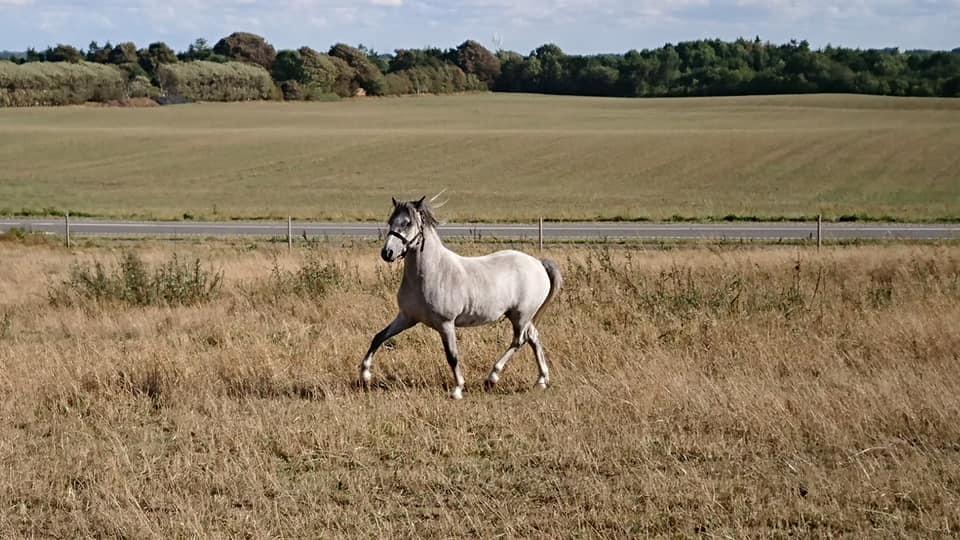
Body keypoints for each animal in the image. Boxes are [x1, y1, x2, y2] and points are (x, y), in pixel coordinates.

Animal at [360, 196, 564, 398]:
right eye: (391, 221)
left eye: (407, 222)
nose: (387, 253)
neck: (431, 273)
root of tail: (538, 264)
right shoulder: (406, 317)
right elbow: (379, 337)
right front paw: (365, 376)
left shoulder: (446, 324)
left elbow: (452, 356)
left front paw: (458, 389)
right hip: (521, 317)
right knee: (533, 338)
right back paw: (541, 381)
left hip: (520, 316)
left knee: (520, 341)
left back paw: (492, 378)